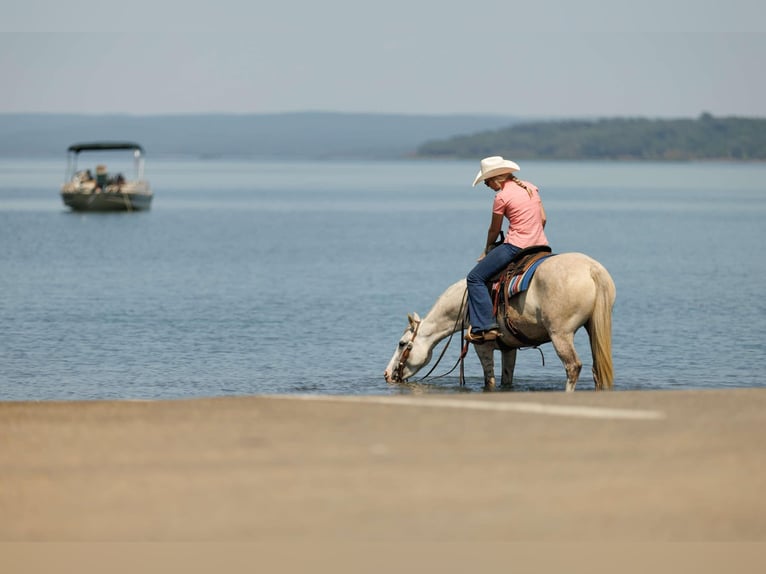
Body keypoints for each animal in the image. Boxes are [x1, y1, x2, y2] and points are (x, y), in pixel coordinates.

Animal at [383, 252, 616, 392]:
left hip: (561, 334)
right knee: (596, 369)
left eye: (402, 344)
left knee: (573, 366)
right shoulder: (508, 348)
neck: (466, 303)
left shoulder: (482, 346)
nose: (386, 374)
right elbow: (506, 379)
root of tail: (592, 269)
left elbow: (490, 380)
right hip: (593, 328)